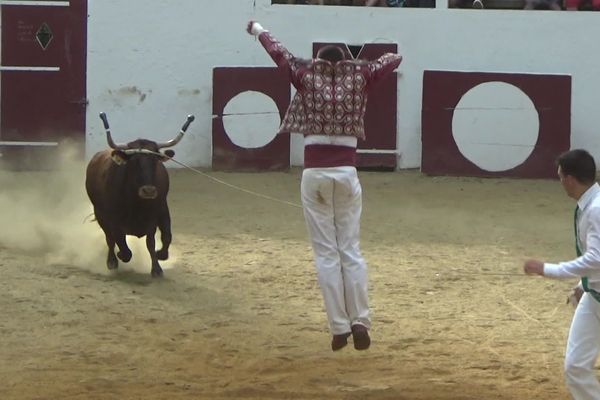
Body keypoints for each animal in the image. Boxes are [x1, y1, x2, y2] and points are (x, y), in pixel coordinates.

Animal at [85, 112, 193, 276]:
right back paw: (112, 261)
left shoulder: (160, 210)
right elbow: (120, 243)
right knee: (109, 238)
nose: (148, 190)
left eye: (155, 160)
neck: (137, 202)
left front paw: (157, 265)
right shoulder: (112, 218)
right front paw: (119, 256)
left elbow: (159, 239)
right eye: (134, 161)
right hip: (100, 213)